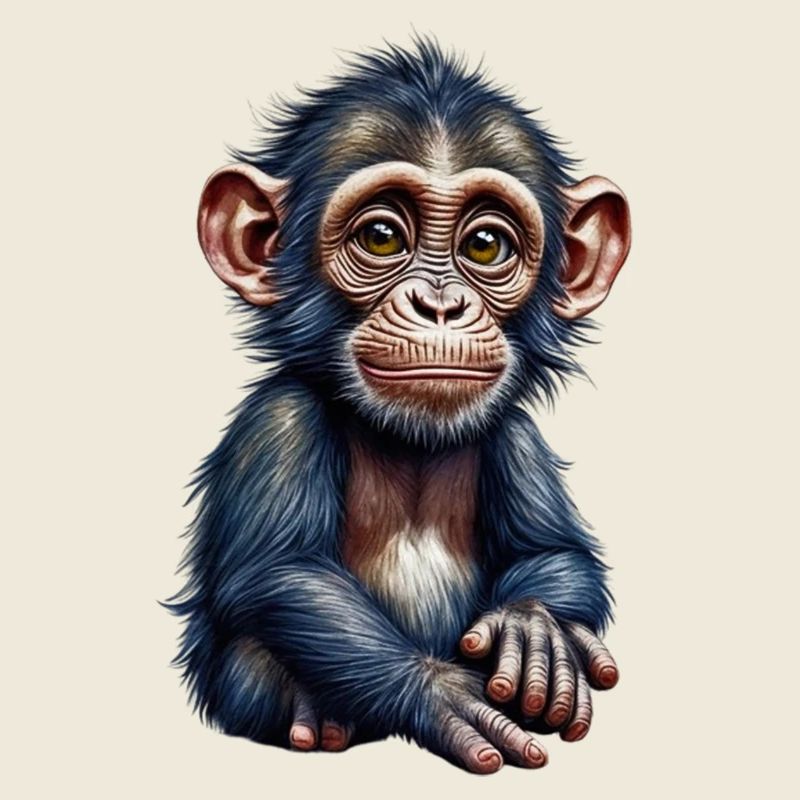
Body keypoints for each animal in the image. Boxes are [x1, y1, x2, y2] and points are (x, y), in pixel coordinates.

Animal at [166, 39, 631, 774]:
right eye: (382, 236)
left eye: (485, 246)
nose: (440, 305)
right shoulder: (279, 422)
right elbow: (282, 571)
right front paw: (440, 691)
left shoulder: (518, 435)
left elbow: (555, 548)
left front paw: (534, 628)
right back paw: (316, 719)